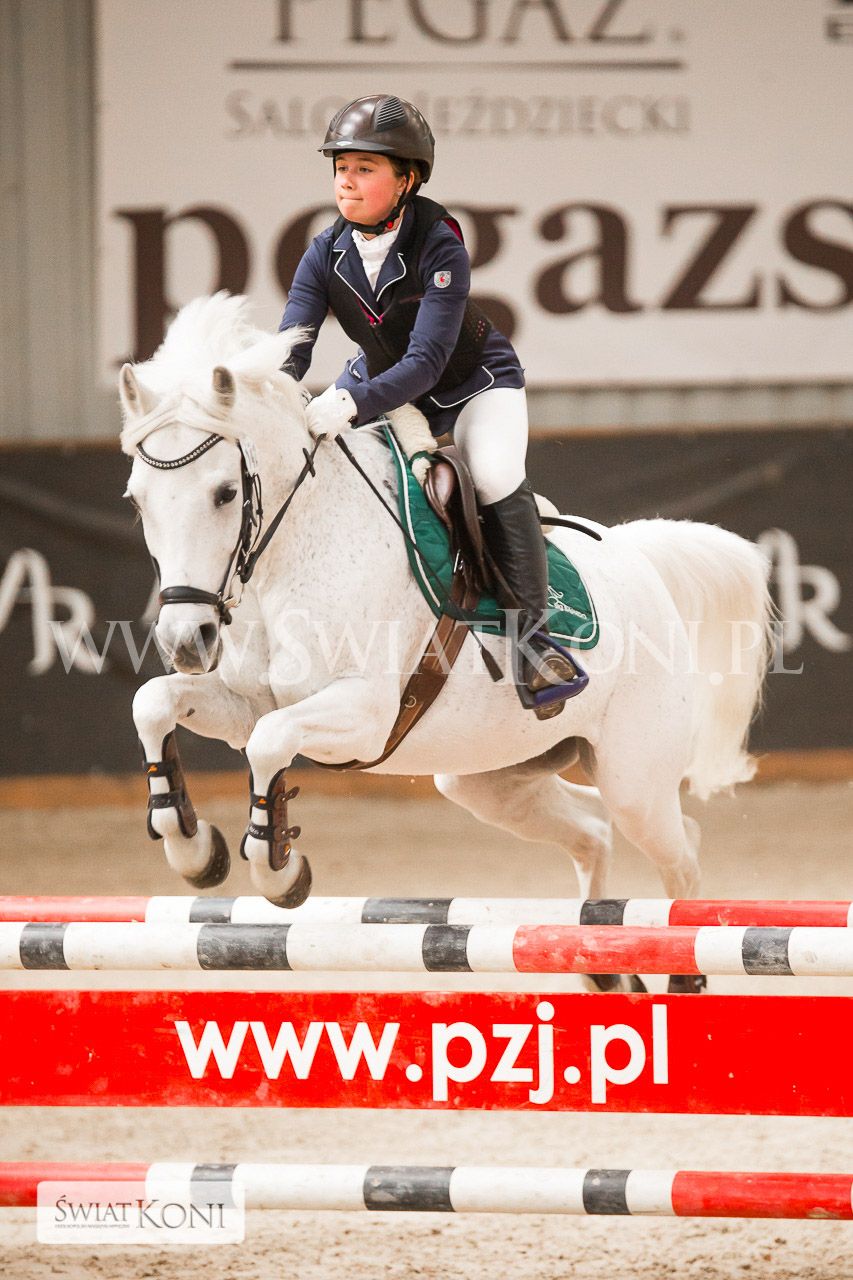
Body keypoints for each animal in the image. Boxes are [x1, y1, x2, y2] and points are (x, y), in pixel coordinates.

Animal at [120, 293, 773, 974]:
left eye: (225, 494)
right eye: (138, 500)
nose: (186, 641)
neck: (293, 553)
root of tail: (638, 559)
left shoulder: (362, 712)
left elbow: (270, 744)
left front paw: (280, 872)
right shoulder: (246, 703)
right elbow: (155, 703)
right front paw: (194, 848)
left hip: (634, 782)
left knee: (681, 857)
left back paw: (678, 973)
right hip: (491, 779)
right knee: (593, 831)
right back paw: (601, 970)